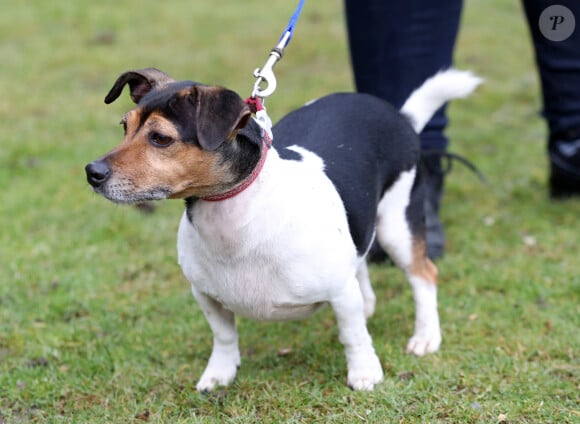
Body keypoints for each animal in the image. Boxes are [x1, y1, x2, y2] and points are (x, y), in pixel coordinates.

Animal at [84, 67, 478, 390]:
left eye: (161, 139)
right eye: (125, 127)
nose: (92, 172)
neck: (234, 218)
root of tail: (399, 115)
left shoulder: (339, 292)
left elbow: (353, 336)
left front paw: (365, 373)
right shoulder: (206, 295)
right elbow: (223, 337)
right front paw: (219, 374)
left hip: (398, 226)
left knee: (424, 275)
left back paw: (425, 336)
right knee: (361, 260)